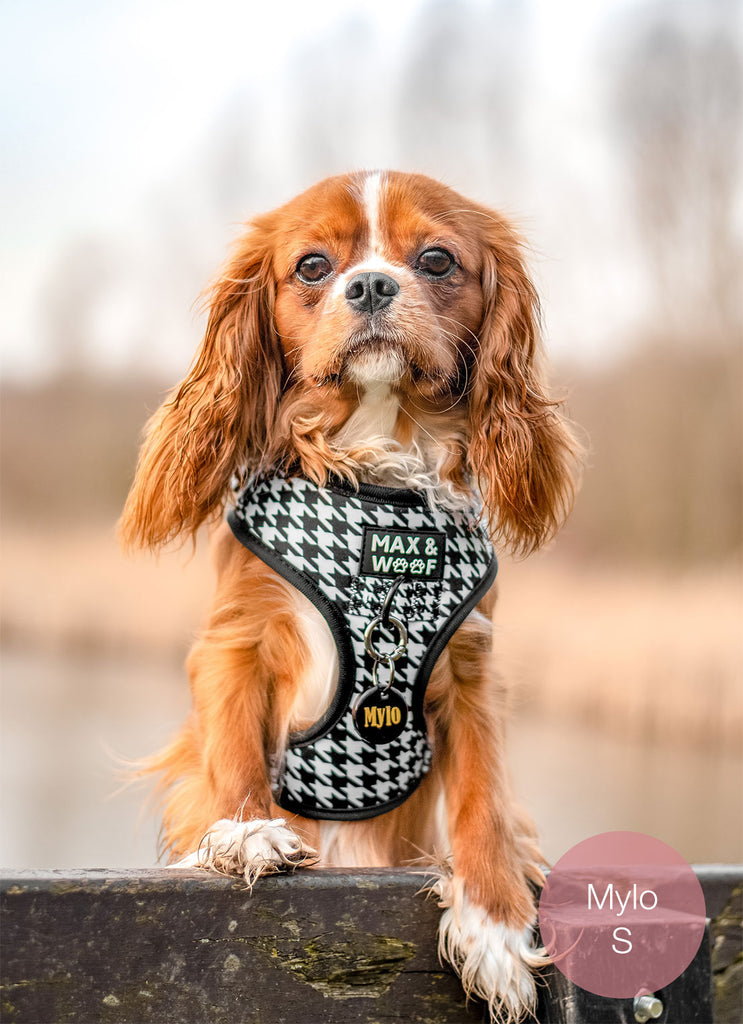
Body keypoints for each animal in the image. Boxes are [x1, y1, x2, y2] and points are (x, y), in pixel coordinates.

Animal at [119, 172, 577, 1019]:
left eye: (435, 260)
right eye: (311, 267)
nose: (368, 285)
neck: (375, 467)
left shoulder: (472, 671)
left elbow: (483, 800)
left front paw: (494, 922)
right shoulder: (233, 643)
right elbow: (233, 750)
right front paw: (246, 833)